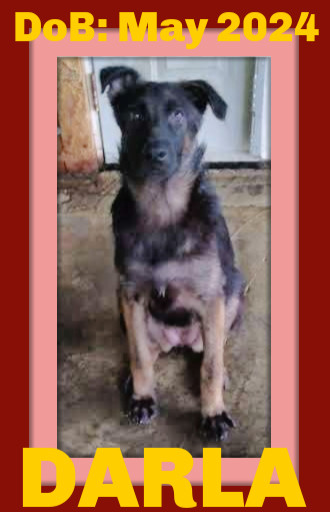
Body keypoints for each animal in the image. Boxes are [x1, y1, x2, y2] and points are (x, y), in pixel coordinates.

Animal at [100, 65, 245, 440]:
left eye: (178, 115)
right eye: (135, 115)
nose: (156, 154)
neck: (162, 209)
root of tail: (179, 340)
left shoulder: (212, 296)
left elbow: (210, 365)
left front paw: (213, 413)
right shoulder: (131, 294)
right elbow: (138, 355)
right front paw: (142, 397)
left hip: (233, 292)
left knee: (211, 349)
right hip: (121, 305)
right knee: (146, 350)